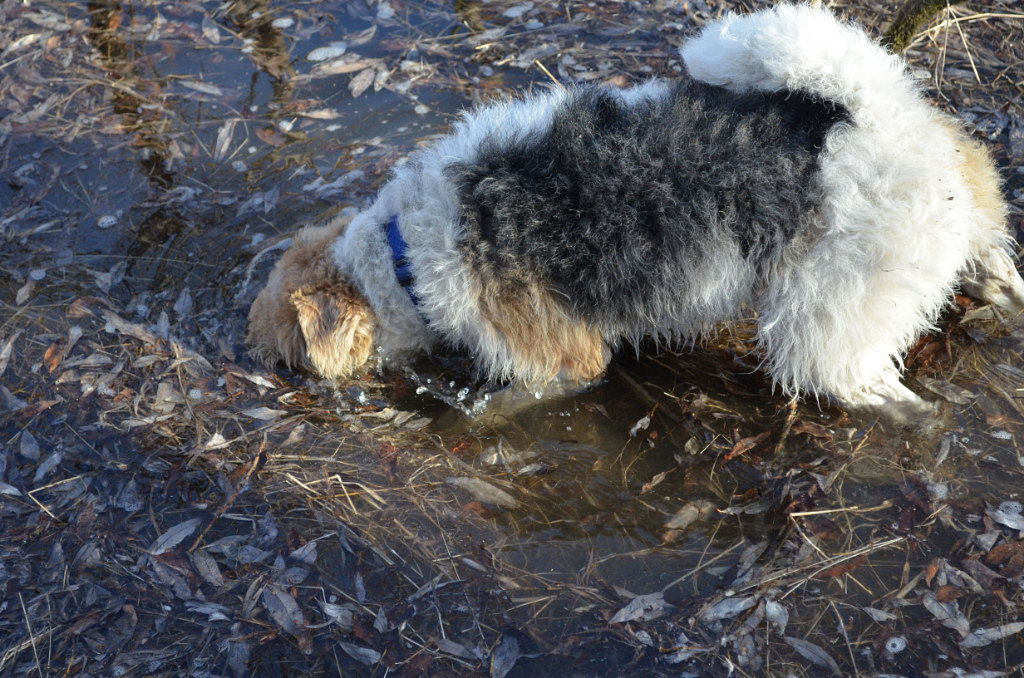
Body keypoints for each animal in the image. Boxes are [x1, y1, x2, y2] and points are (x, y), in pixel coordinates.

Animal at [247, 5, 1024, 419]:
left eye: (285, 345)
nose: (257, 362)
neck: (403, 249)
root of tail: (875, 112)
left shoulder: (561, 360)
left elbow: (504, 401)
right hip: (958, 224)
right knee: (997, 271)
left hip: (829, 325)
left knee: (880, 390)